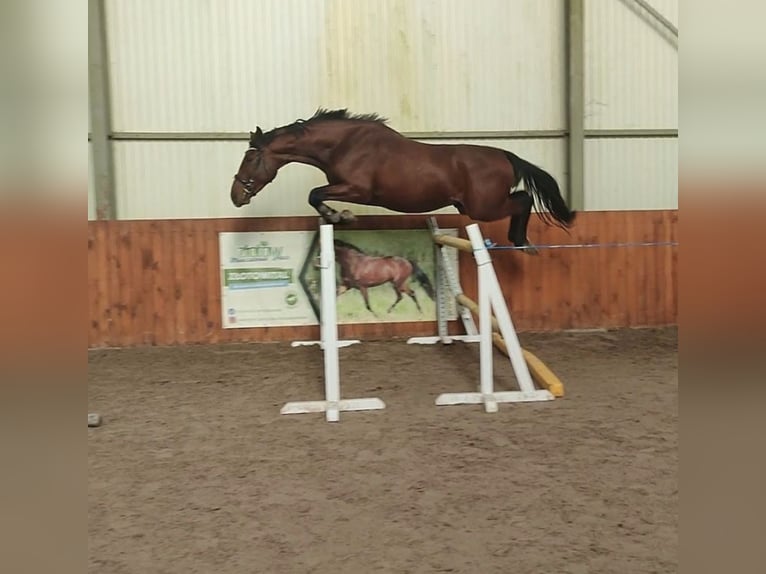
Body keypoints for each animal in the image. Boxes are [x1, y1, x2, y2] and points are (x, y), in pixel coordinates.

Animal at [231, 108, 576, 253]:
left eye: (249, 159)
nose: (236, 195)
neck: (344, 143)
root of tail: (505, 155)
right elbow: (315, 195)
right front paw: (337, 216)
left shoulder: (357, 190)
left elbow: (315, 195)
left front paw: (340, 216)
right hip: (474, 206)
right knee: (522, 199)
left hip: (483, 207)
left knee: (524, 199)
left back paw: (521, 242)